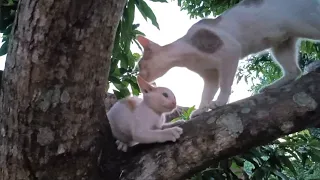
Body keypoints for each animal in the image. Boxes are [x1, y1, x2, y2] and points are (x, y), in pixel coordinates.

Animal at [135, 0, 320, 118]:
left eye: (140, 64)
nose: (139, 74)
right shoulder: (209, 75)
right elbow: (205, 94)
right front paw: (201, 109)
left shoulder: (230, 53)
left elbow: (225, 84)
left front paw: (220, 102)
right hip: (281, 45)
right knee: (294, 71)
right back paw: (273, 86)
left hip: (306, 25)